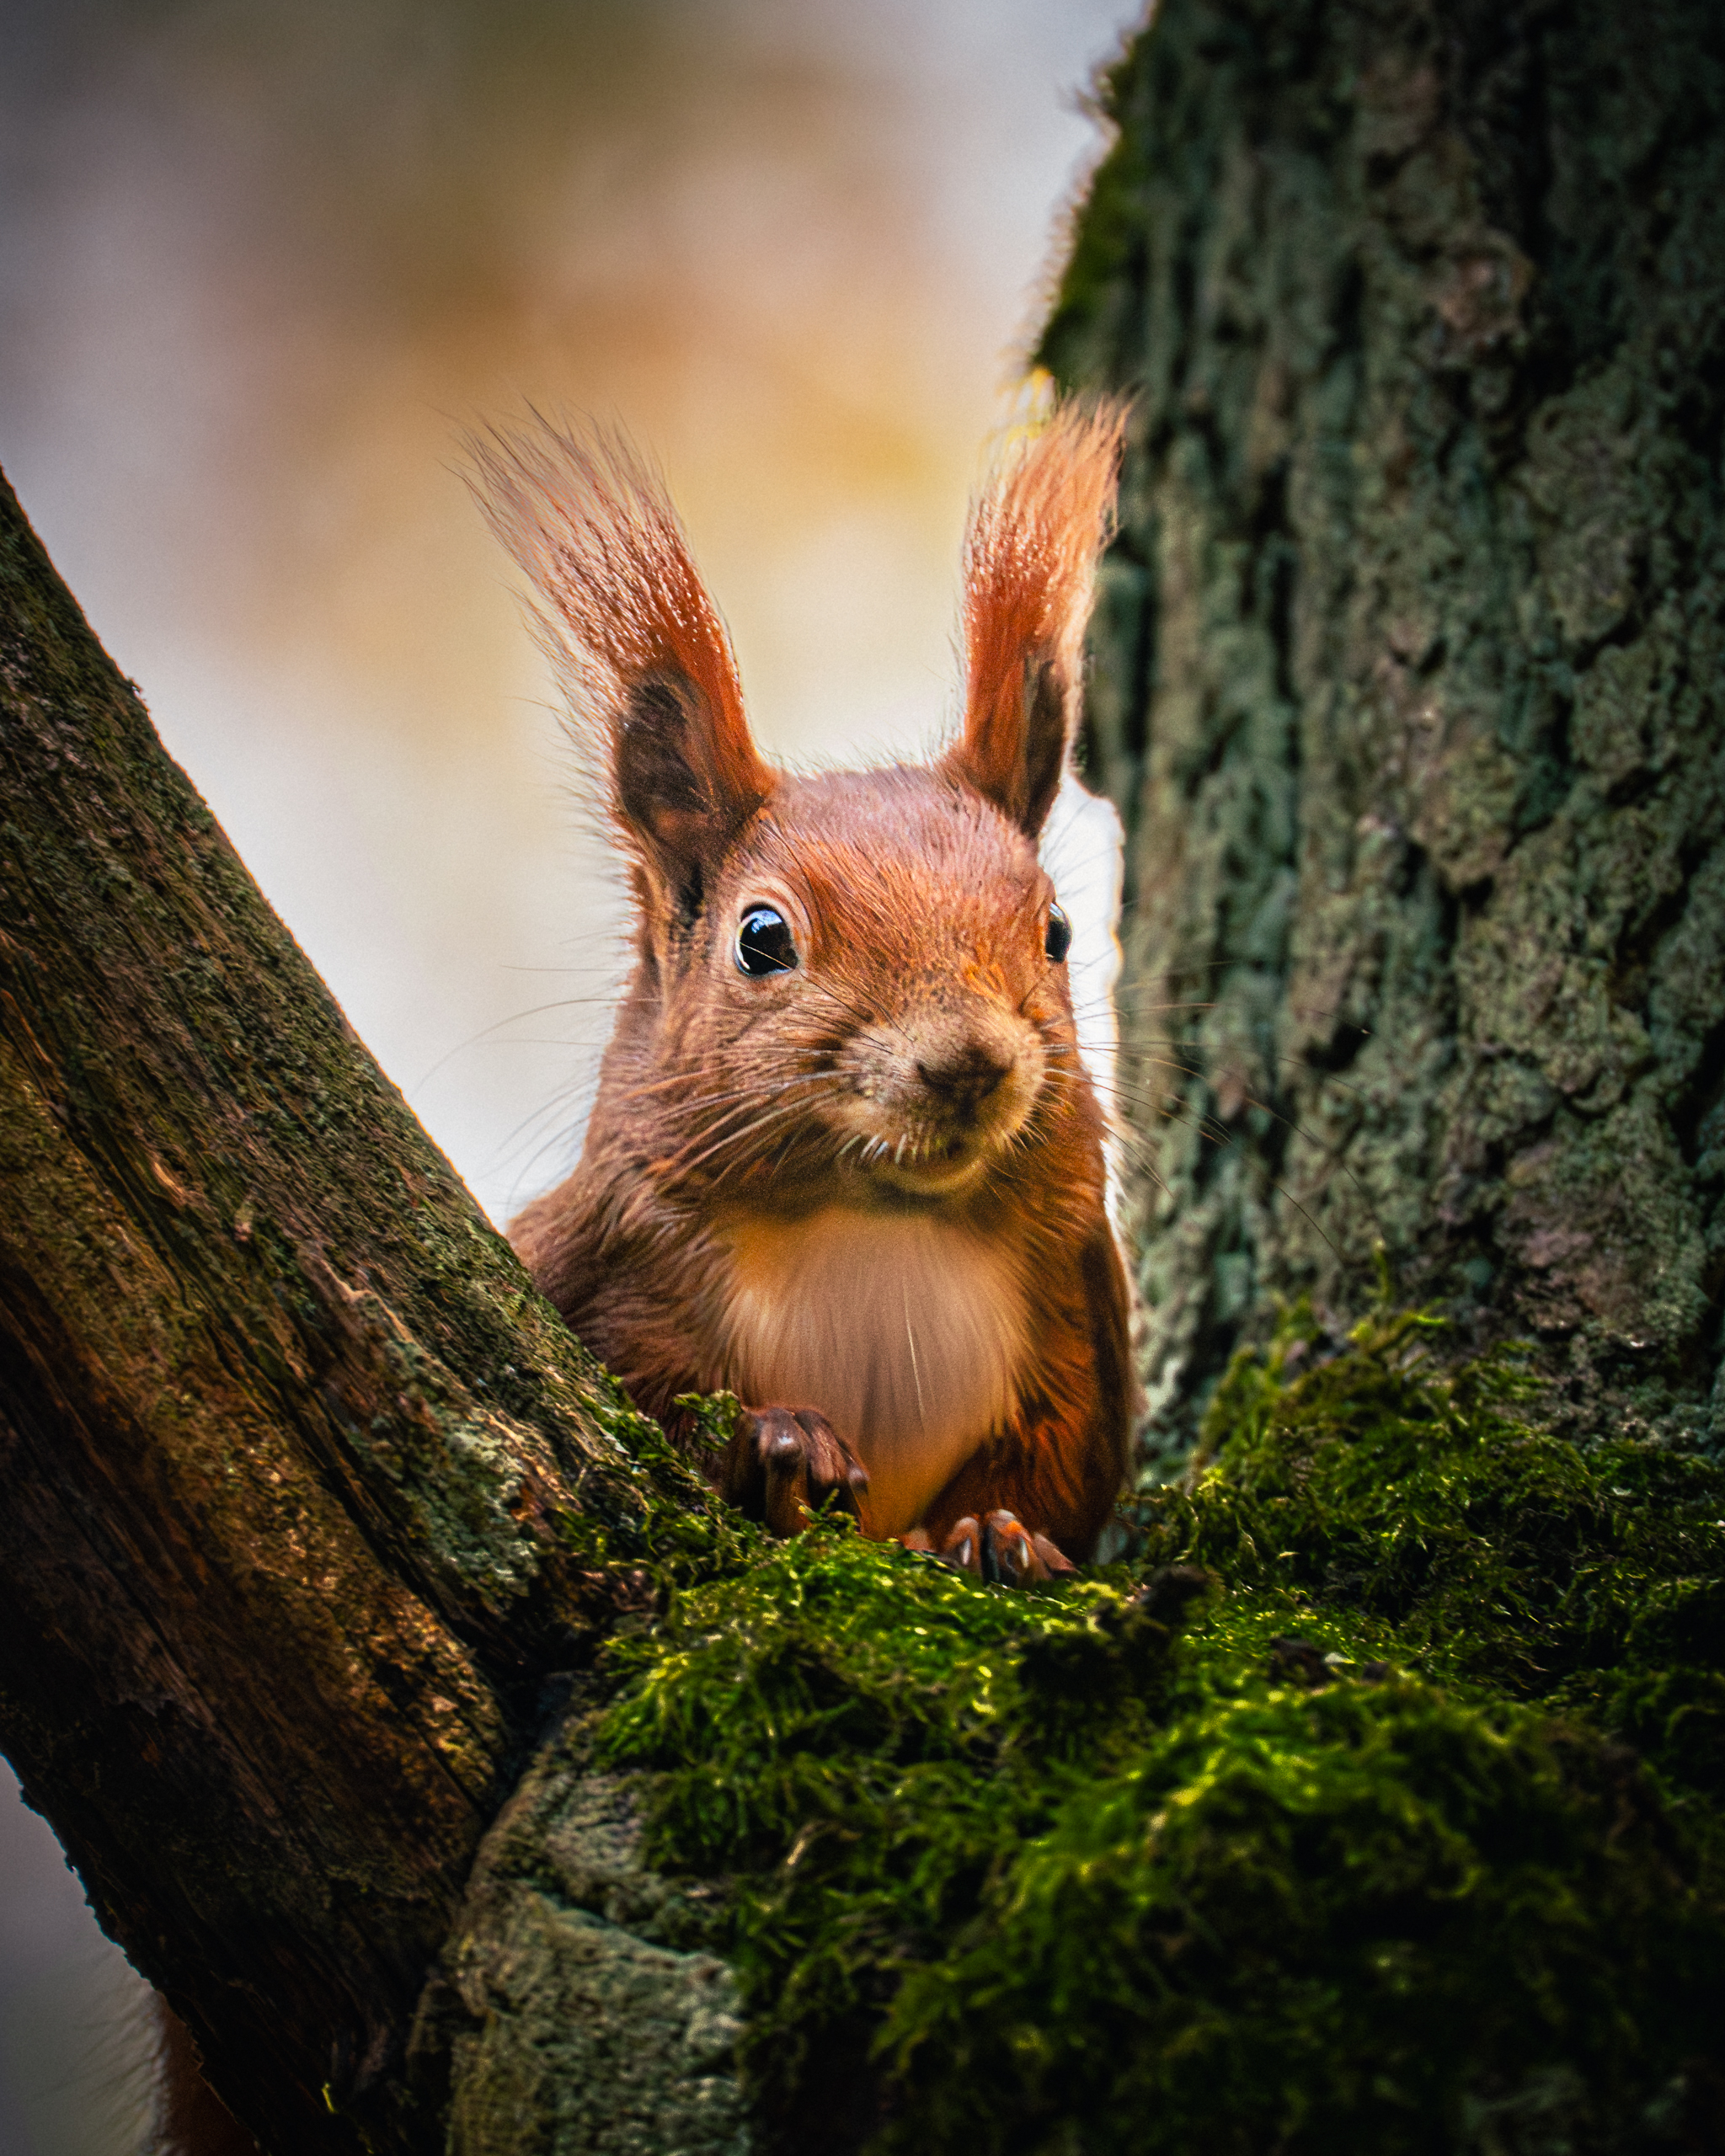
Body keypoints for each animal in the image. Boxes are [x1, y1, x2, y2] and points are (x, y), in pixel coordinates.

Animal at [472, 401, 1136, 1584]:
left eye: (1056, 931)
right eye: (761, 937)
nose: (968, 1062)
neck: (870, 1224)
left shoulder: (1073, 1313)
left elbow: (1047, 1468)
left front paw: (993, 1530)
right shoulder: (596, 1266)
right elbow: (650, 1403)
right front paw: (780, 1442)